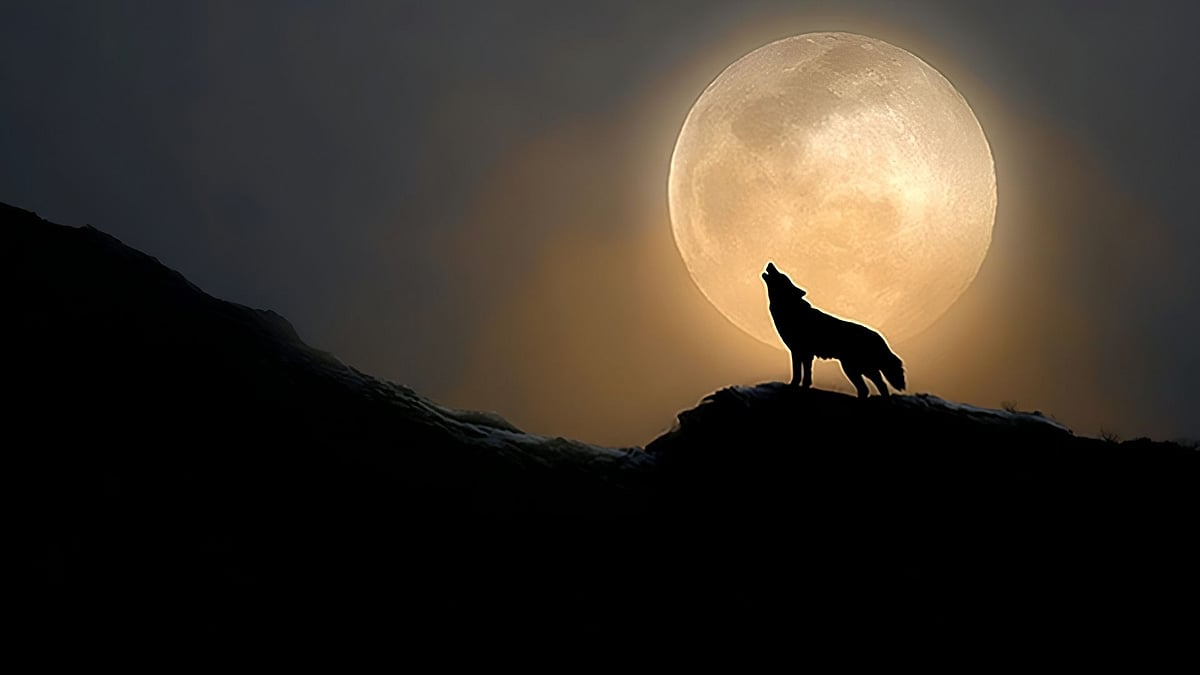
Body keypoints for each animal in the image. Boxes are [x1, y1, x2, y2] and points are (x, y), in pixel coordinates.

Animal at [761, 262, 906, 398]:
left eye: (781, 276)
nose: (770, 263)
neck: (791, 309)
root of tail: (880, 338)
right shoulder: (801, 353)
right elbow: (804, 375)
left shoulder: (802, 353)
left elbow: (799, 374)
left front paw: (793, 387)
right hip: (853, 369)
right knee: (867, 389)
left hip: (858, 369)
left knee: (880, 386)